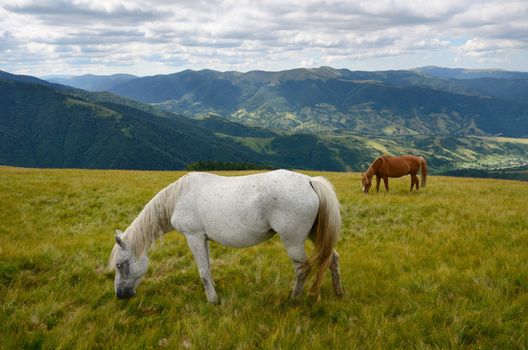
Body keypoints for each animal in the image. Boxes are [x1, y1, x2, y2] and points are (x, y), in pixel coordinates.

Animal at [109, 170, 344, 304]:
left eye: (120, 265)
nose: (120, 295)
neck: (177, 198)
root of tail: (309, 181)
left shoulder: (193, 237)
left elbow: (203, 271)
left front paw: (213, 301)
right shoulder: (203, 239)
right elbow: (208, 268)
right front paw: (213, 291)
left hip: (293, 241)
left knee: (302, 269)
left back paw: (294, 299)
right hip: (315, 234)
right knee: (332, 258)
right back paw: (338, 293)